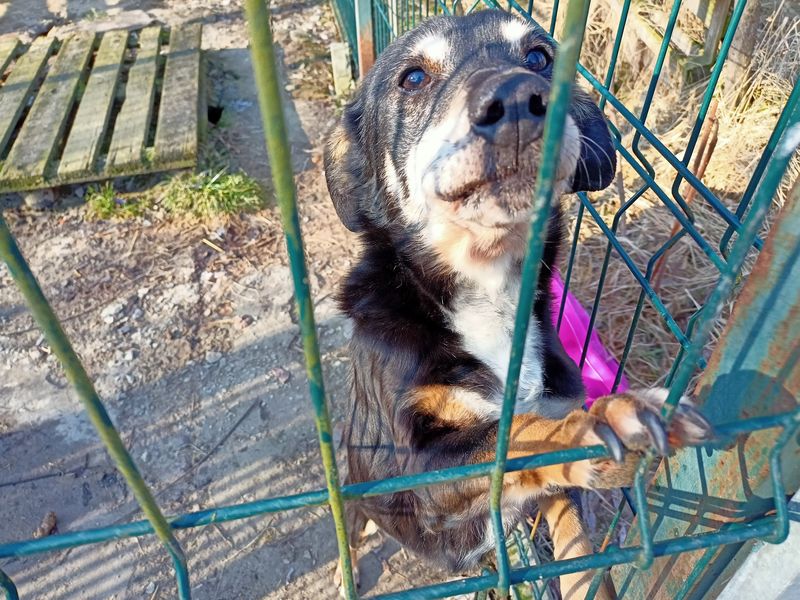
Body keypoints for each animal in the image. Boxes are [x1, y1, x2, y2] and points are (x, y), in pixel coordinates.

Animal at [324, 10, 712, 599]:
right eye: (412, 78)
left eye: (539, 57)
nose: (516, 100)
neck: (489, 288)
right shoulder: (422, 464)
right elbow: (517, 431)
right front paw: (603, 423)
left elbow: (579, 552)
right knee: (350, 526)